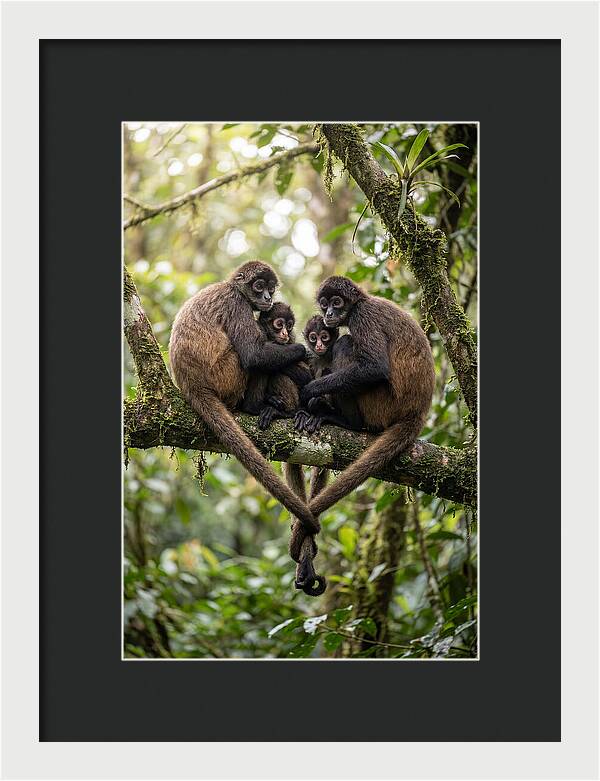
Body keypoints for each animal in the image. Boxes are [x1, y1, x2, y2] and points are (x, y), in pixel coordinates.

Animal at [168, 261, 319, 536]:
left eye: (271, 288)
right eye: (259, 287)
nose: (268, 297)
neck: (231, 287)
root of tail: (191, 385)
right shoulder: (236, 303)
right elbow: (253, 355)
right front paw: (302, 350)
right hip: (226, 375)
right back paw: (255, 407)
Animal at [298, 276, 435, 519]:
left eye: (337, 302)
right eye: (324, 304)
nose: (329, 314)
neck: (362, 302)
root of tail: (417, 413)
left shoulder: (362, 316)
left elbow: (375, 367)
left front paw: (310, 391)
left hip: (381, 404)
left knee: (345, 343)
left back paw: (346, 421)